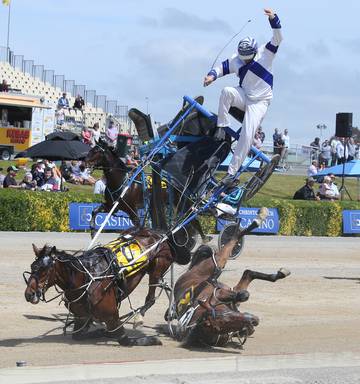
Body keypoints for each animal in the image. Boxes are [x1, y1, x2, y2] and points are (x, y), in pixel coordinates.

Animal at [167, 208, 292, 350]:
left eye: (226, 315)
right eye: (225, 321)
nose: (252, 320)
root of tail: (189, 273)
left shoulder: (220, 293)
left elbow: (242, 294)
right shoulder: (221, 294)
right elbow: (243, 295)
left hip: (217, 267)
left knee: (246, 269)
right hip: (217, 261)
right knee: (236, 245)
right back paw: (257, 220)